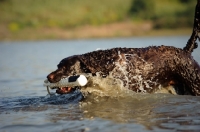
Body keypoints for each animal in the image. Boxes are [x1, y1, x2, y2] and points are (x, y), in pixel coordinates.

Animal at [46, 0, 200, 96]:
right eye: (58, 66)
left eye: (65, 68)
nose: (48, 76)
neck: (103, 64)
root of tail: (185, 51)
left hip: (195, 84)